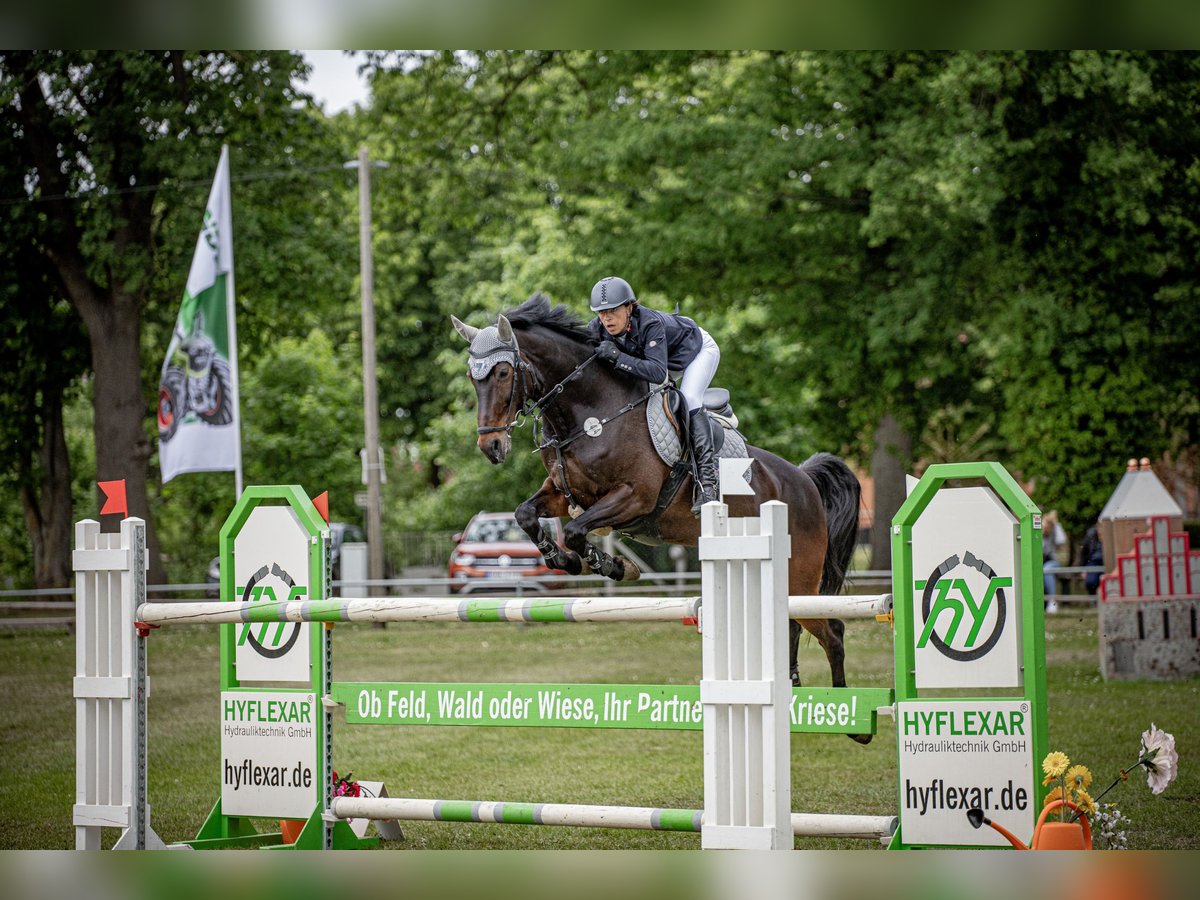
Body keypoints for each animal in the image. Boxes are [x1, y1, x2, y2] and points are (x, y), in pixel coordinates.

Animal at [451, 296, 873, 748]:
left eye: (503, 372)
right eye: (472, 377)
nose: (492, 446)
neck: (589, 412)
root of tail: (803, 479)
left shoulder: (634, 497)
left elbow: (578, 532)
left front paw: (614, 565)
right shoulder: (565, 495)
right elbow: (527, 515)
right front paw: (563, 559)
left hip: (800, 578)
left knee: (832, 629)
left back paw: (855, 724)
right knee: (792, 627)